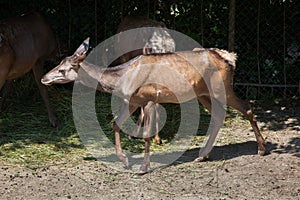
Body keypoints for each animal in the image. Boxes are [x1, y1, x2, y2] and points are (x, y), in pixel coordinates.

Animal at [41, 38, 266, 171]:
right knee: (220, 114)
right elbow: (115, 124)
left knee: (246, 106)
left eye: (62, 70)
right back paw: (202, 155)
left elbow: (147, 134)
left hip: (222, 87)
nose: (43, 78)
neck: (122, 79)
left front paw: (144, 167)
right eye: (58, 63)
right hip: (204, 94)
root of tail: (230, 58)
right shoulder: (132, 100)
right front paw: (124, 160)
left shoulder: (149, 98)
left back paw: (262, 149)